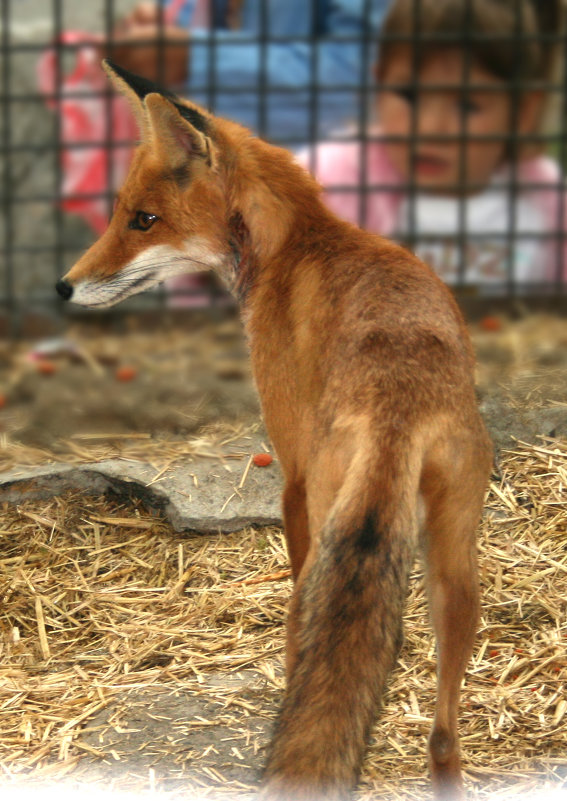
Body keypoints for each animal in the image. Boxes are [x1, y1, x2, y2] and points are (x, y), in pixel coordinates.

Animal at [56, 61, 492, 800]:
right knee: (442, 735)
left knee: (305, 651)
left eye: (143, 220)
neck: (300, 241)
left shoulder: (290, 476)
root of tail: (398, 407)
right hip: (456, 569)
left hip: (326, 542)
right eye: (122, 214)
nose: (62, 287)